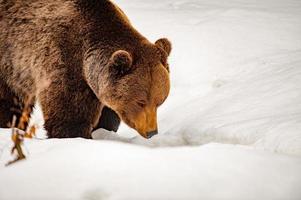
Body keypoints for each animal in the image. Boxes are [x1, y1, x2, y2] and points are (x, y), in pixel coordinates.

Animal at [0, 0, 171, 139]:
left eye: (160, 101)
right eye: (140, 102)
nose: (151, 132)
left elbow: (108, 114)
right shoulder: (64, 60)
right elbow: (69, 114)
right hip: (10, 60)